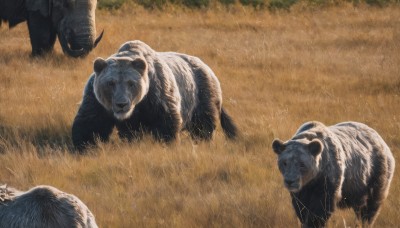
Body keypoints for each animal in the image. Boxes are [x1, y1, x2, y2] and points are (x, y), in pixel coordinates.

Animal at [71, 40, 238, 151]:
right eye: (110, 83)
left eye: (131, 83)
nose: (121, 104)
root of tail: (207, 67)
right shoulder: (97, 101)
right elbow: (91, 124)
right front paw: (85, 146)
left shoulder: (156, 95)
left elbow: (166, 123)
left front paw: (167, 143)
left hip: (201, 93)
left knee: (203, 126)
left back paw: (203, 141)